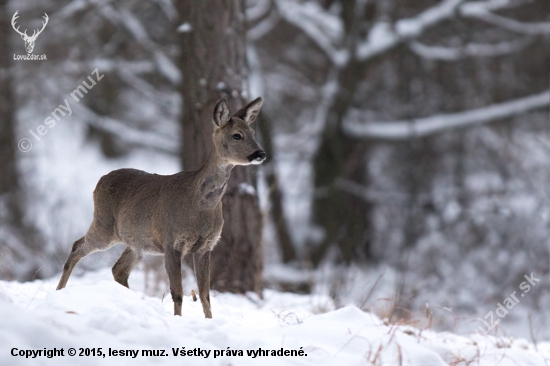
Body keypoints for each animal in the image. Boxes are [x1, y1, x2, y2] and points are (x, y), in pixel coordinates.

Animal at [56, 97, 268, 318]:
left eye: (253, 132)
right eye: (237, 135)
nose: (260, 153)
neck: (200, 207)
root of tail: (100, 180)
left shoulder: (206, 246)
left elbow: (205, 295)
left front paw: (209, 321)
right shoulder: (171, 241)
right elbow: (178, 293)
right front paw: (178, 320)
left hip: (136, 240)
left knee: (118, 269)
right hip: (104, 225)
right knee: (77, 246)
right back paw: (59, 292)